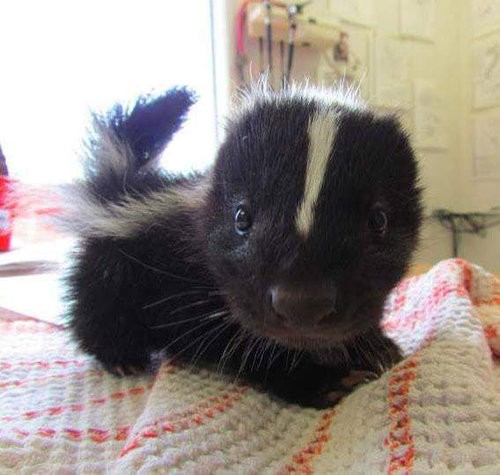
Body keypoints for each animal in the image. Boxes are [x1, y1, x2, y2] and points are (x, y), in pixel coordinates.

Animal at [62, 85, 422, 410]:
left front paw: (376, 347)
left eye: (378, 220)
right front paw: (321, 381)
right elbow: (240, 344)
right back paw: (122, 359)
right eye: (242, 217)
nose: (302, 304)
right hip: (111, 268)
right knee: (97, 310)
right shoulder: (198, 293)